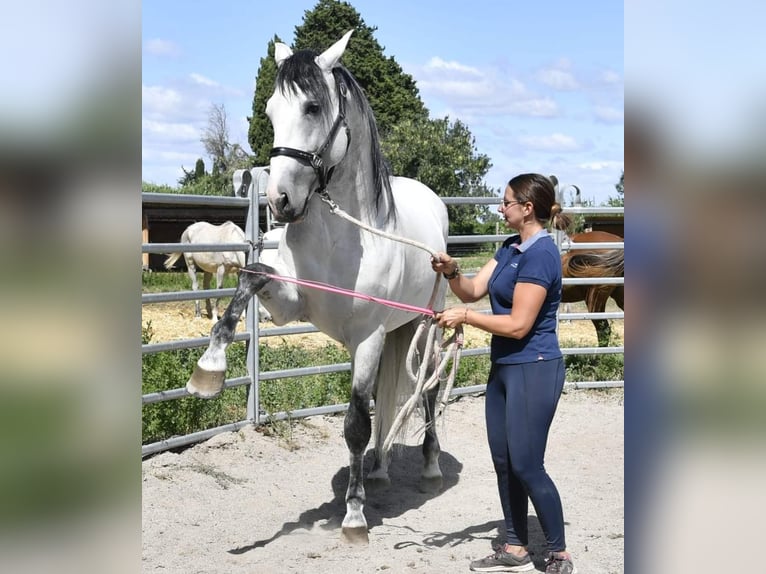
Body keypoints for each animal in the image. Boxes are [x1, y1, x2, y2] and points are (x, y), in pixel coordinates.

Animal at [188, 31, 450, 544]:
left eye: (312, 107)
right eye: (271, 110)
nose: (280, 201)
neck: (339, 237)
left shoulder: (368, 336)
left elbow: (354, 425)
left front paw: (354, 517)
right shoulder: (288, 306)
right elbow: (250, 277)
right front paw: (208, 370)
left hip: (424, 327)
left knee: (424, 390)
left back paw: (429, 467)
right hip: (392, 333)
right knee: (384, 403)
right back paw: (380, 469)